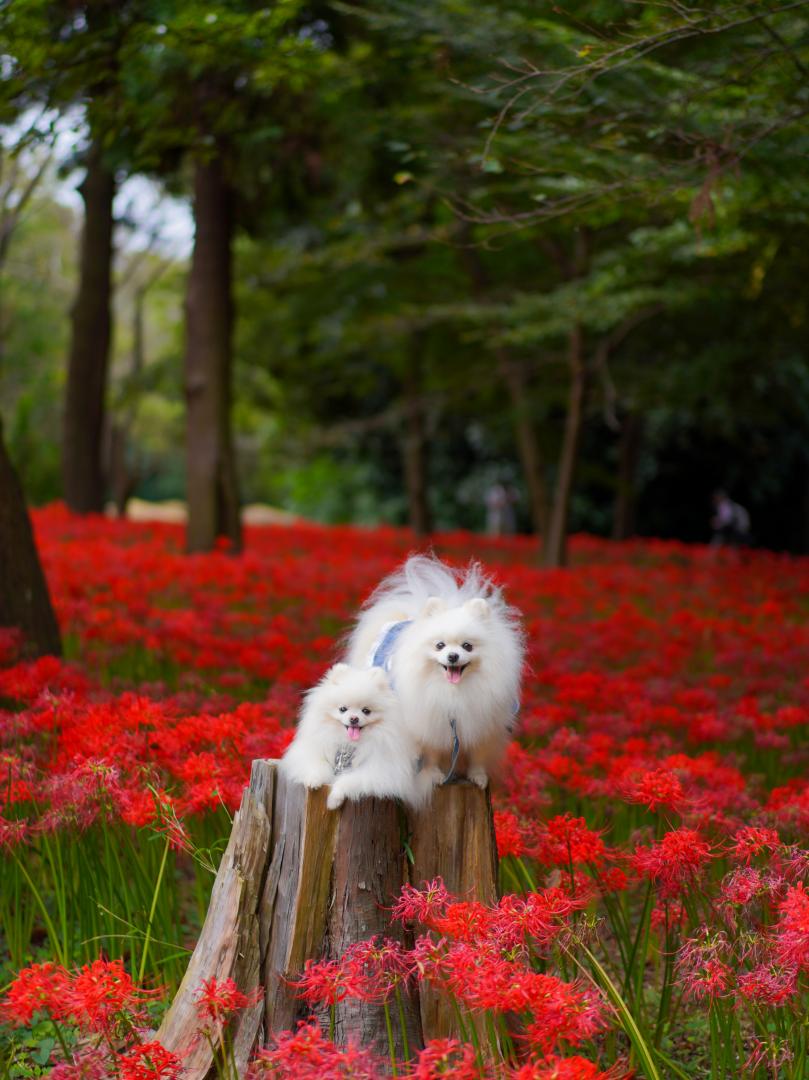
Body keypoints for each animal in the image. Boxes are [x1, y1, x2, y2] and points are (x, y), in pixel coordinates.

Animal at [278, 660, 429, 807]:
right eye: (343, 709)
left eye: (366, 711)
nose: (354, 719)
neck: (348, 743)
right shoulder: (312, 753)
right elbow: (318, 765)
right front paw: (314, 780)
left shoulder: (377, 771)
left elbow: (348, 781)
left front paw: (333, 800)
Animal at [345, 552, 524, 790]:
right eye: (440, 645)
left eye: (467, 646)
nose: (453, 656)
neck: (454, 691)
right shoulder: (429, 722)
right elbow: (431, 753)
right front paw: (434, 775)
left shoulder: (482, 724)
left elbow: (478, 755)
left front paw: (478, 776)